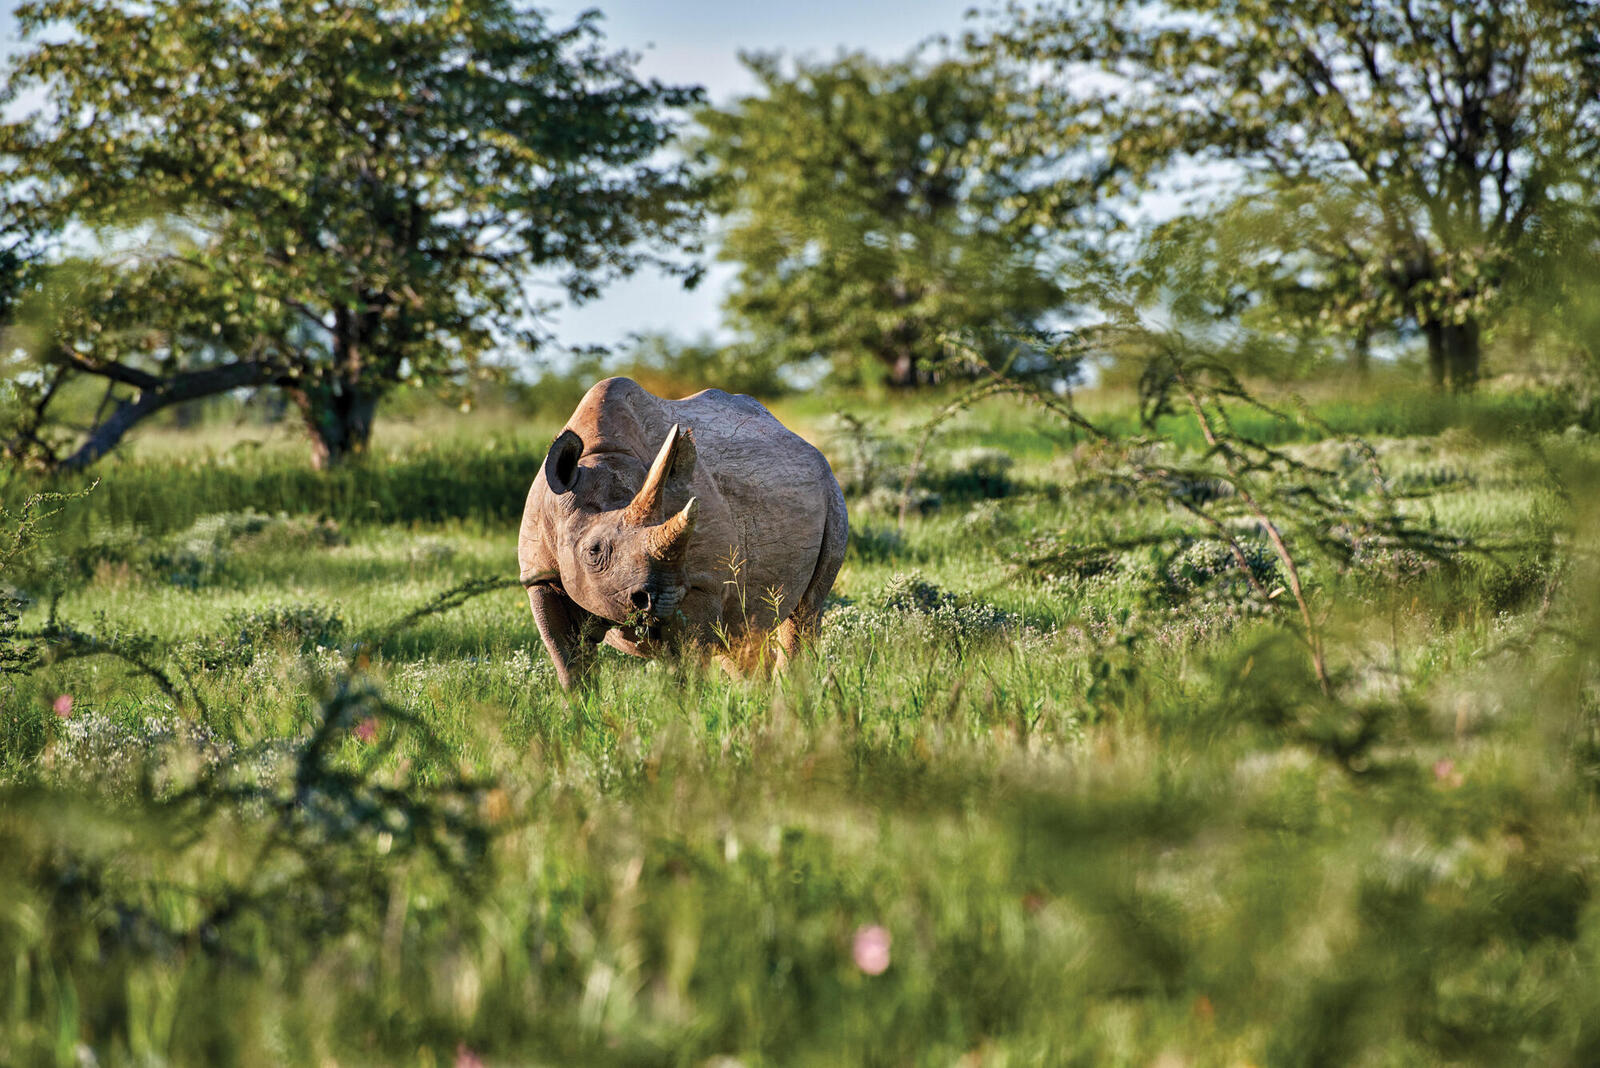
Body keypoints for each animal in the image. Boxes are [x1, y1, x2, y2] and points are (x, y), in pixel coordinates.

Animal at [521, 378, 851, 687]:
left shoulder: (701, 584)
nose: (659, 600)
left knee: (804, 611)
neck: (600, 458)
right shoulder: (541, 574)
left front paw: (685, 707)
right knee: (740, 632)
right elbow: (568, 661)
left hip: (832, 495)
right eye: (594, 551)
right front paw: (581, 709)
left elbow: (688, 663)